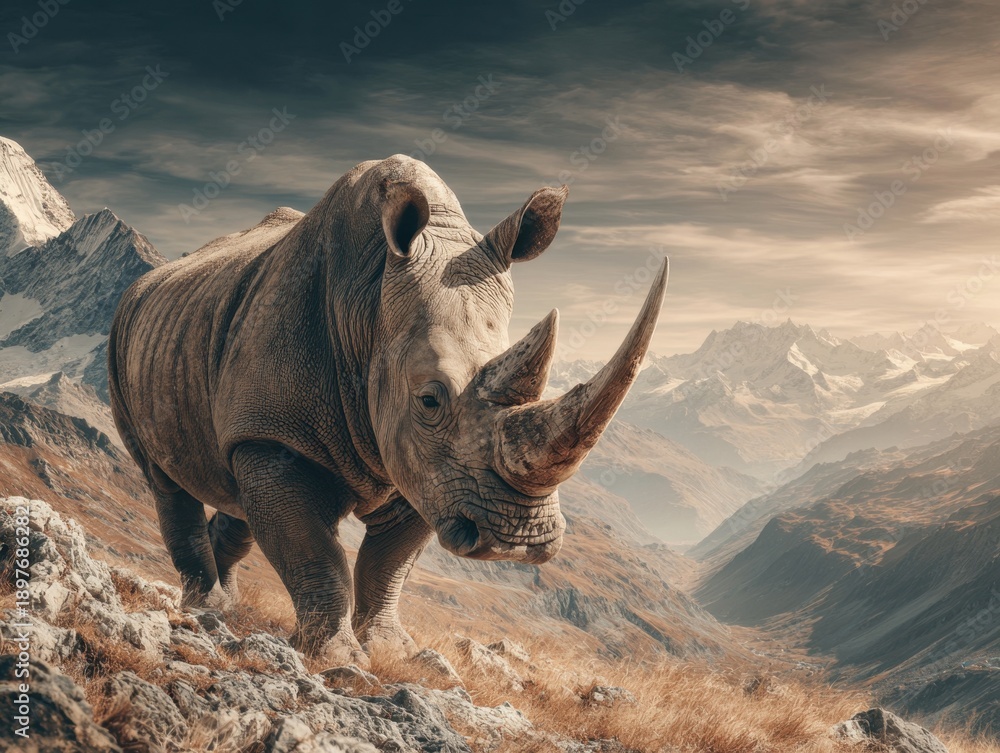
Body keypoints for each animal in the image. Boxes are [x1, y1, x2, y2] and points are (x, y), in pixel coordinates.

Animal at [108, 155, 667, 666]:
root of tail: (146, 284)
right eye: (430, 399)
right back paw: (207, 607)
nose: (516, 542)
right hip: (125, 337)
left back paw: (225, 600)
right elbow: (315, 552)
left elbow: (387, 564)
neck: (368, 309)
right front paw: (339, 660)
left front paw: (393, 651)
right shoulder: (279, 433)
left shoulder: (423, 468)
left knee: (237, 494)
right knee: (166, 483)